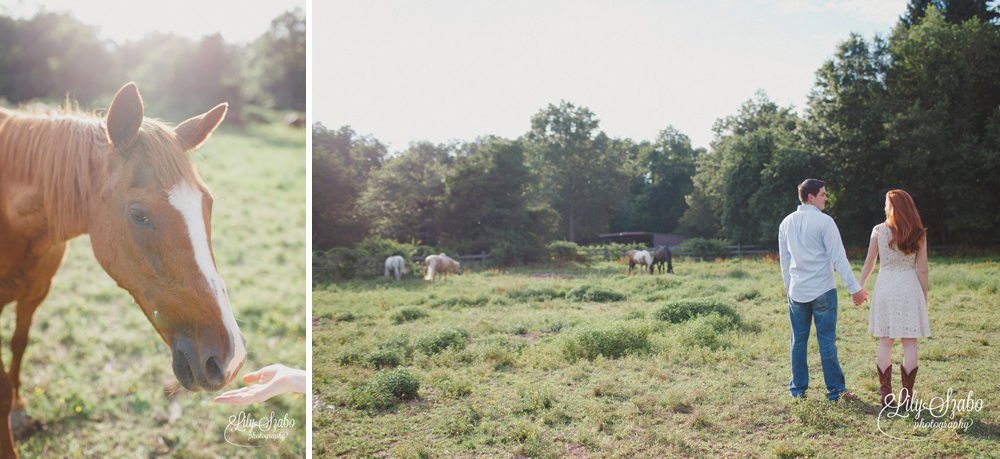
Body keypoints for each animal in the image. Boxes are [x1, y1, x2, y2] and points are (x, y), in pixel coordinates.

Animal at [0, 83, 247, 459]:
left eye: (208, 204)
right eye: (138, 215)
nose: (233, 357)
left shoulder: (36, 292)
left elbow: (19, 343)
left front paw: (17, 405)